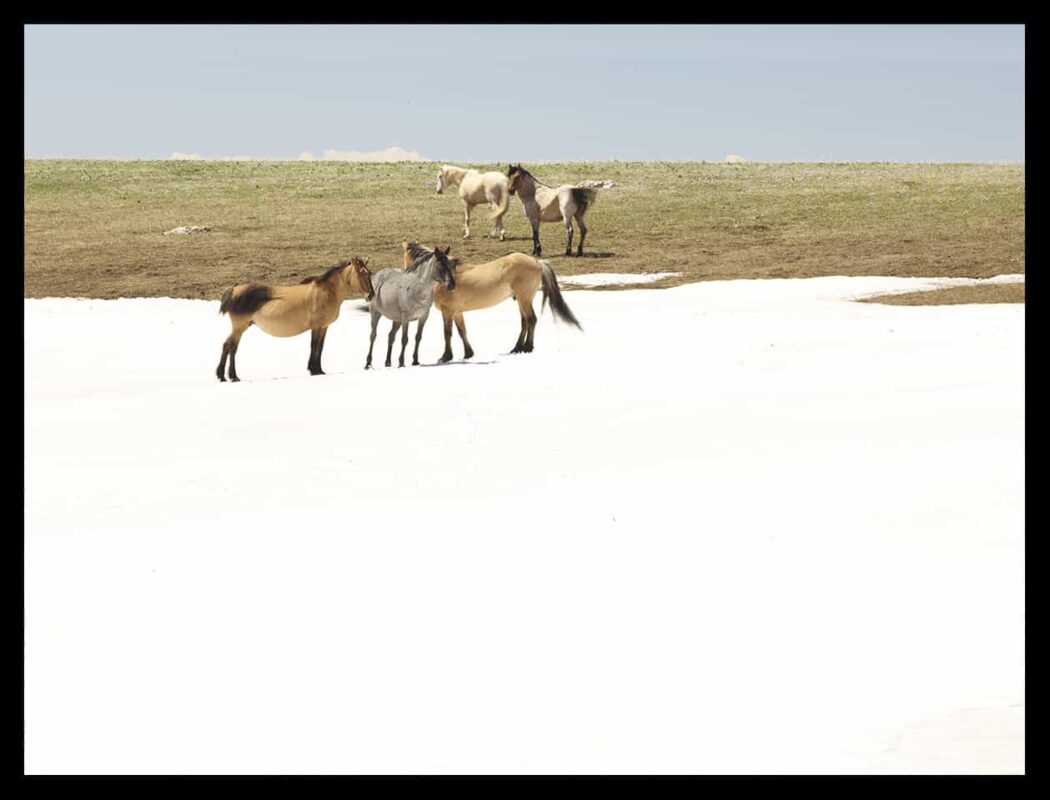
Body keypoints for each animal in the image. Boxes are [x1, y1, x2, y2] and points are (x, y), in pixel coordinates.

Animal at [215, 255, 375, 380]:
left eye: (370, 272)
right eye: (362, 272)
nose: (371, 295)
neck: (328, 291)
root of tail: (234, 289)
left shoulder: (324, 327)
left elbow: (320, 347)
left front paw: (319, 370)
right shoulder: (317, 327)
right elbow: (314, 346)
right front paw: (314, 370)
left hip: (242, 327)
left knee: (230, 346)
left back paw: (225, 376)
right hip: (239, 327)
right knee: (230, 346)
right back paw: (230, 376)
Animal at [401, 237, 583, 361]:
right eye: (440, 264)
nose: (451, 285)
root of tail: (536, 262)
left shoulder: (448, 312)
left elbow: (448, 333)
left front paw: (446, 356)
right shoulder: (457, 312)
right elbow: (462, 331)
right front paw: (468, 353)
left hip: (524, 298)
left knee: (531, 320)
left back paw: (527, 347)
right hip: (522, 300)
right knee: (524, 322)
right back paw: (517, 348)